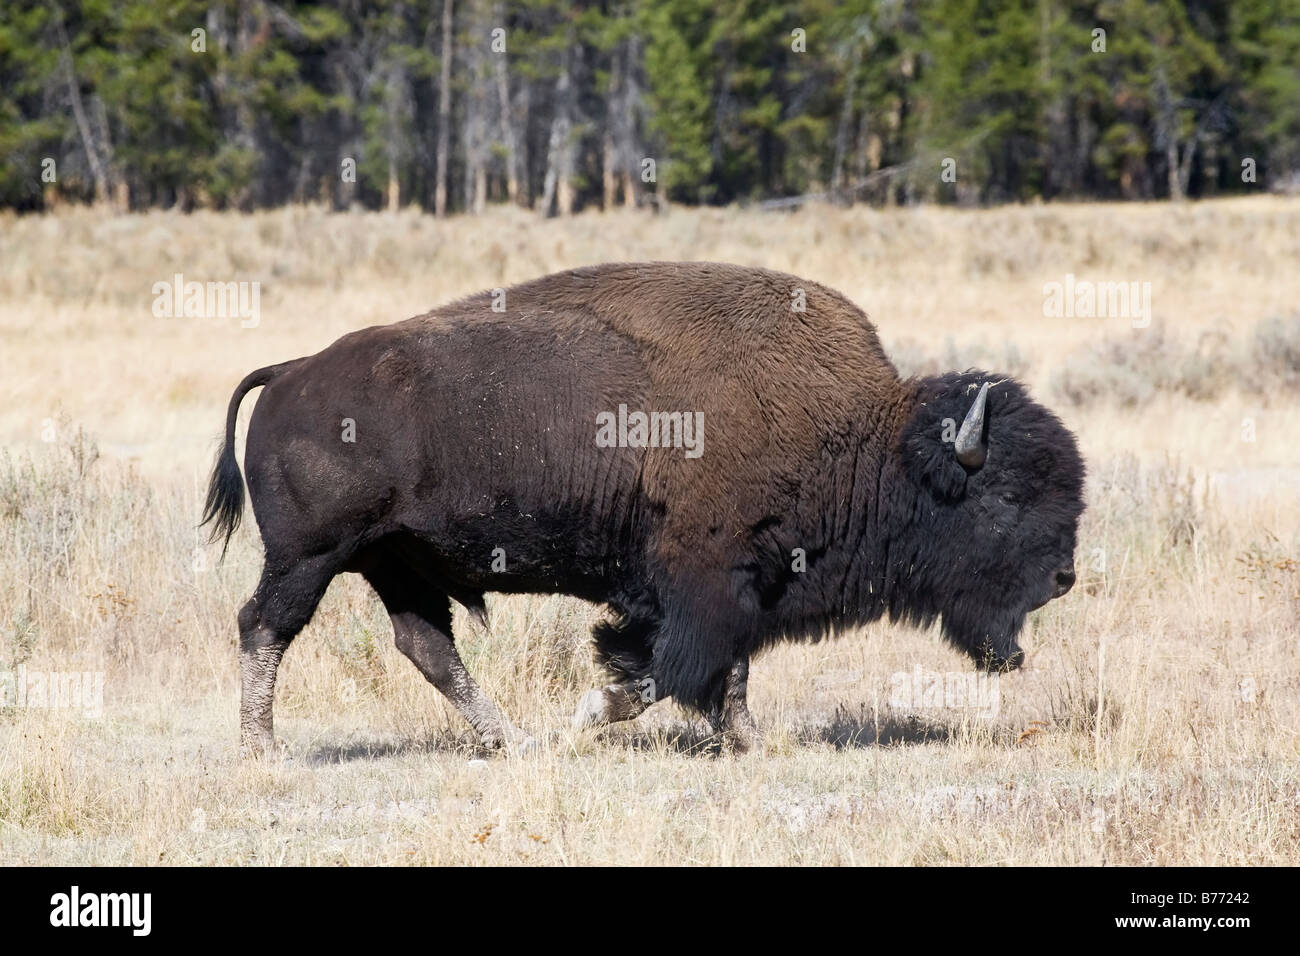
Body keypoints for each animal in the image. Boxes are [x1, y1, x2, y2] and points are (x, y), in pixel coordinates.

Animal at [202, 261, 1081, 754]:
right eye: (1005, 498)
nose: (1064, 577)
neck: (867, 436)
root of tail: (290, 371)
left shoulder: (737, 584)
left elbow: (723, 667)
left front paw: (749, 741)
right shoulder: (708, 579)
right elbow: (678, 664)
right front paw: (594, 714)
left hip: (394, 561)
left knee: (425, 644)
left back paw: (510, 740)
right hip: (311, 557)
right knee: (265, 625)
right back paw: (262, 747)